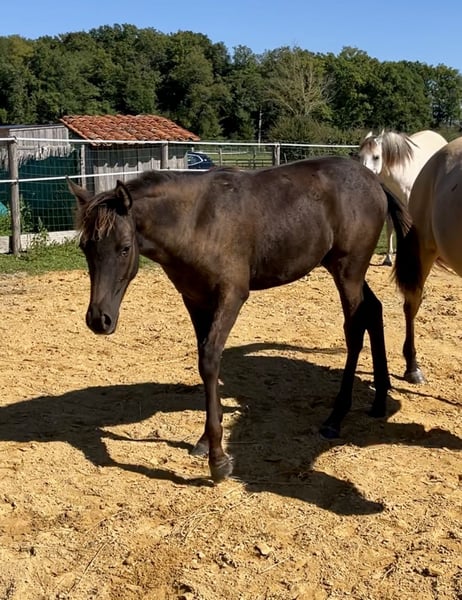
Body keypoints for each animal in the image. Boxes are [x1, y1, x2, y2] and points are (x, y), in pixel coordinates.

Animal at [68, 157, 411, 482]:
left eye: (125, 248)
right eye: (85, 247)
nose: (98, 319)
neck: (196, 221)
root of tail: (375, 182)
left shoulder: (231, 296)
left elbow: (209, 360)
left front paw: (218, 459)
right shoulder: (195, 299)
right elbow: (204, 360)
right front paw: (205, 440)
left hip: (348, 272)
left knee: (354, 329)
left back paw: (336, 417)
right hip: (345, 271)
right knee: (374, 311)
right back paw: (379, 400)